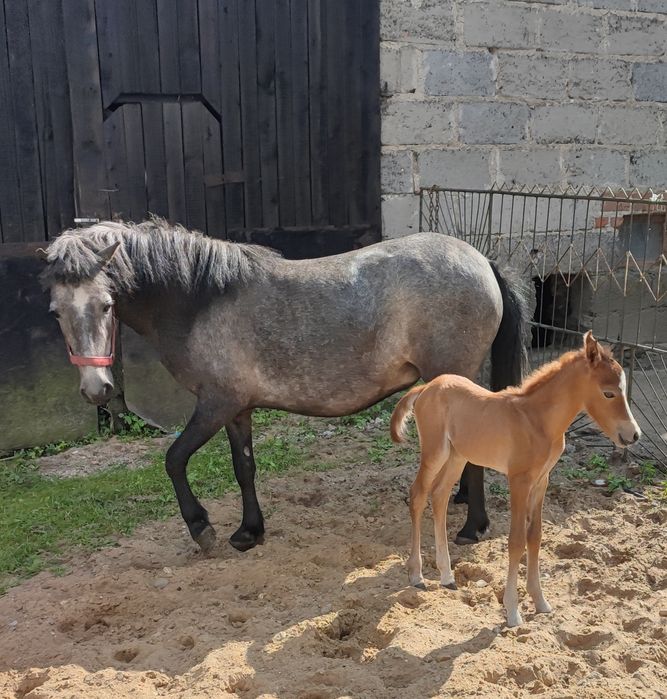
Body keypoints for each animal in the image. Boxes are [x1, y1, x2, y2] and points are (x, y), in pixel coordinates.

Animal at [43, 221, 528, 556]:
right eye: (55, 312)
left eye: (106, 305)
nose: (96, 389)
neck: (201, 300)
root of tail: (482, 261)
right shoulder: (237, 410)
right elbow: (244, 467)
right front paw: (249, 531)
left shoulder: (215, 404)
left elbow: (174, 459)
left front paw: (202, 529)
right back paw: (460, 499)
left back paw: (473, 527)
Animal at [392, 334, 640, 628]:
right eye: (609, 393)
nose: (633, 435)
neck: (537, 420)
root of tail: (425, 387)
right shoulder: (519, 480)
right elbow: (516, 541)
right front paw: (512, 611)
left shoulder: (541, 480)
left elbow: (536, 536)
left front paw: (541, 602)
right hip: (435, 452)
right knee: (418, 494)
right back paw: (417, 575)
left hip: (457, 456)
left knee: (439, 495)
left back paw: (447, 576)